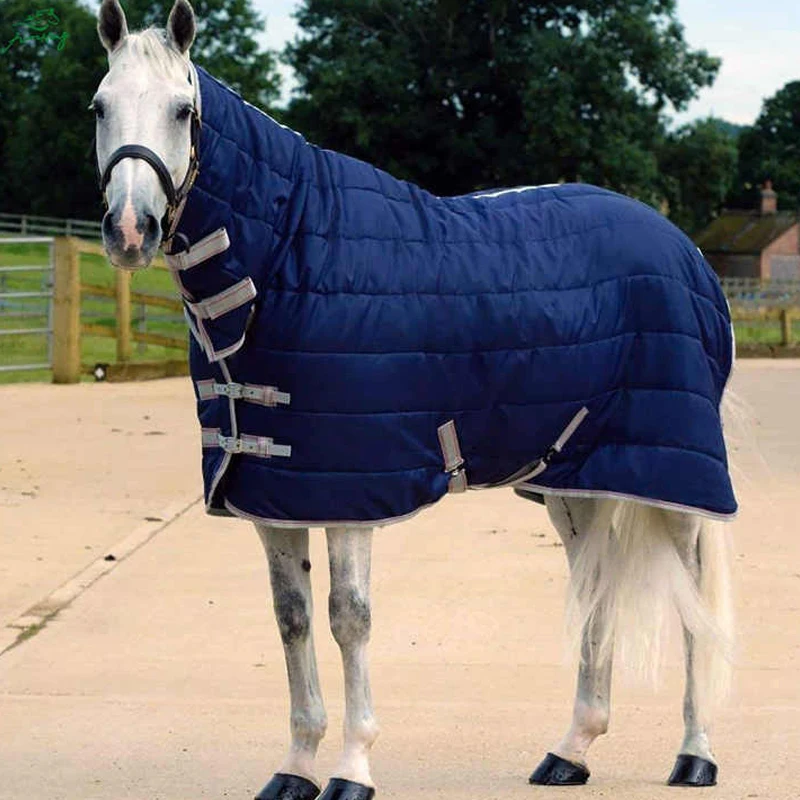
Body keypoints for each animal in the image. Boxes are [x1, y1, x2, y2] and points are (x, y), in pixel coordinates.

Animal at [93, 1, 736, 797]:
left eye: (181, 111)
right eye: (100, 106)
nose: (129, 229)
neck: (286, 258)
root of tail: (686, 251)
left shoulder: (349, 493)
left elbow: (349, 618)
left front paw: (352, 769)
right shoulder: (275, 493)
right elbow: (292, 618)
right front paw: (295, 766)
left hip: (677, 478)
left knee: (696, 599)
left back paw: (696, 754)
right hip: (575, 479)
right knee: (594, 589)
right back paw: (571, 750)